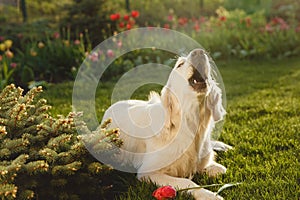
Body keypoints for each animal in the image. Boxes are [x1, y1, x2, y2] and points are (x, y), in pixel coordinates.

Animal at [102, 48, 231, 200]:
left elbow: (218, 168)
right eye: (180, 64)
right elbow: (186, 181)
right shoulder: (148, 172)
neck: (190, 126)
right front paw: (209, 195)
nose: (199, 51)